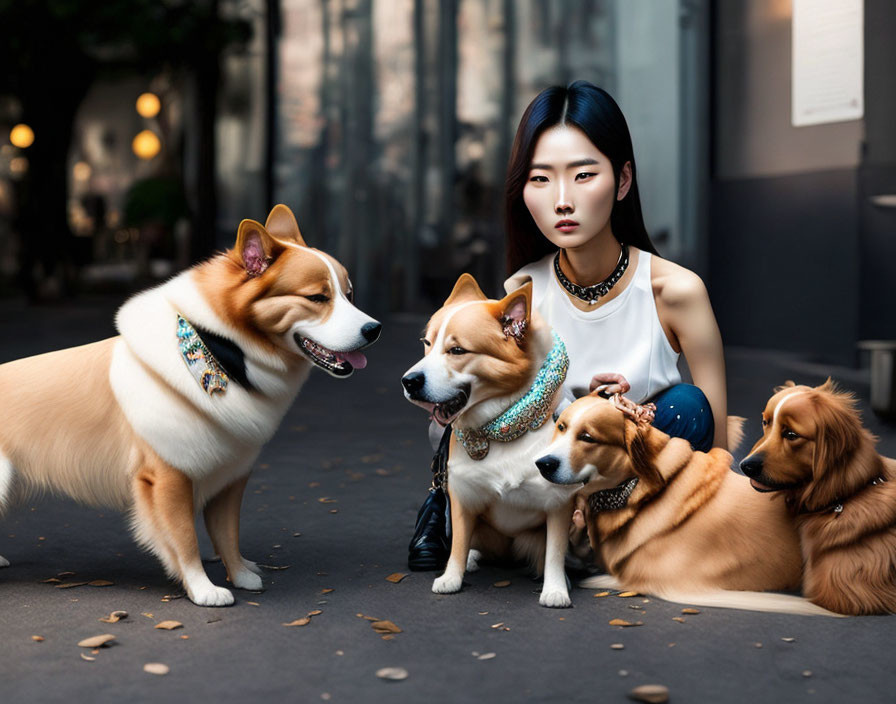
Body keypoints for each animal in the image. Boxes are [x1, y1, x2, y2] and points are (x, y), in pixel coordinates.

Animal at [0, 202, 380, 604]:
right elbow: (184, 540)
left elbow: (228, 535)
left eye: (349, 295)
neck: (221, 353)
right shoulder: (168, 477)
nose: (375, 329)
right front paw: (202, 589)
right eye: (317, 298)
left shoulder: (231, 477)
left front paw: (240, 574)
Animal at [400, 274, 580, 604]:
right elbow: (458, 544)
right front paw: (451, 578)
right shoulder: (462, 497)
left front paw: (556, 589)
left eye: (457, 351)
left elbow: (554, 552)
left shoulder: (558, 503)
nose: (408, 381)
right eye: (427, 344)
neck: (504, 428)